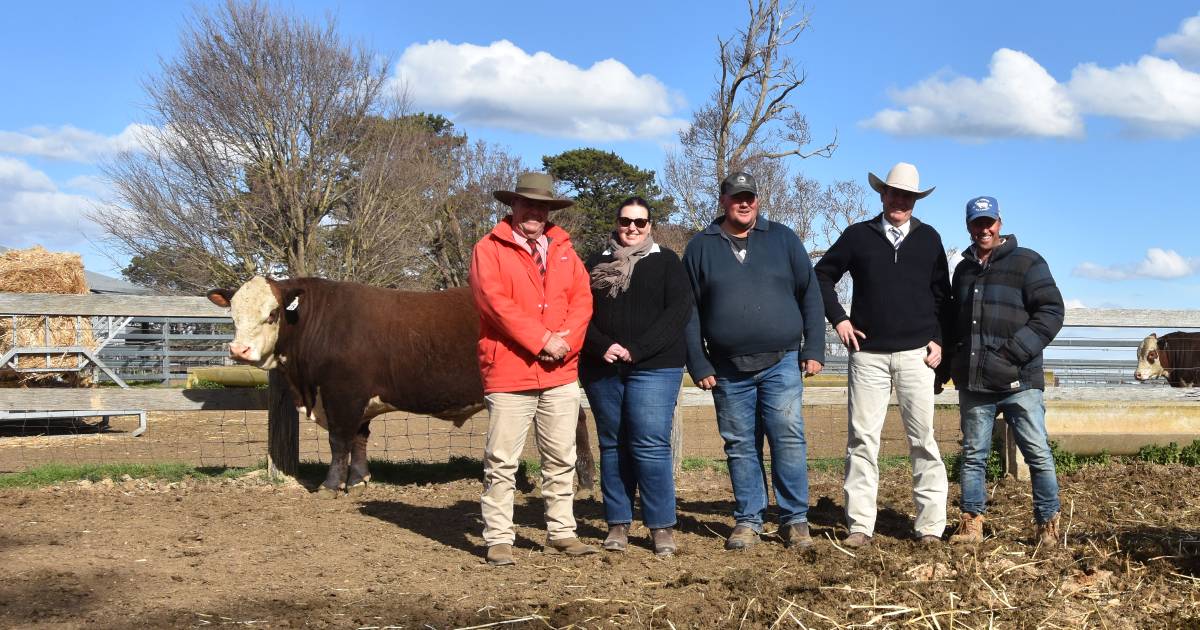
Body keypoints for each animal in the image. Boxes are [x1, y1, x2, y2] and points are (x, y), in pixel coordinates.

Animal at [212, 277, 600, 494]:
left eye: (272, 312)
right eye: (232, 314)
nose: (239, 350)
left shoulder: (342, 395)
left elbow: (339, 442)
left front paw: (330, 485)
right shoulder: (358, 400)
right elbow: (359, 439)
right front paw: (359, 479)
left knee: (577, 421)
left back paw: (584, 481)